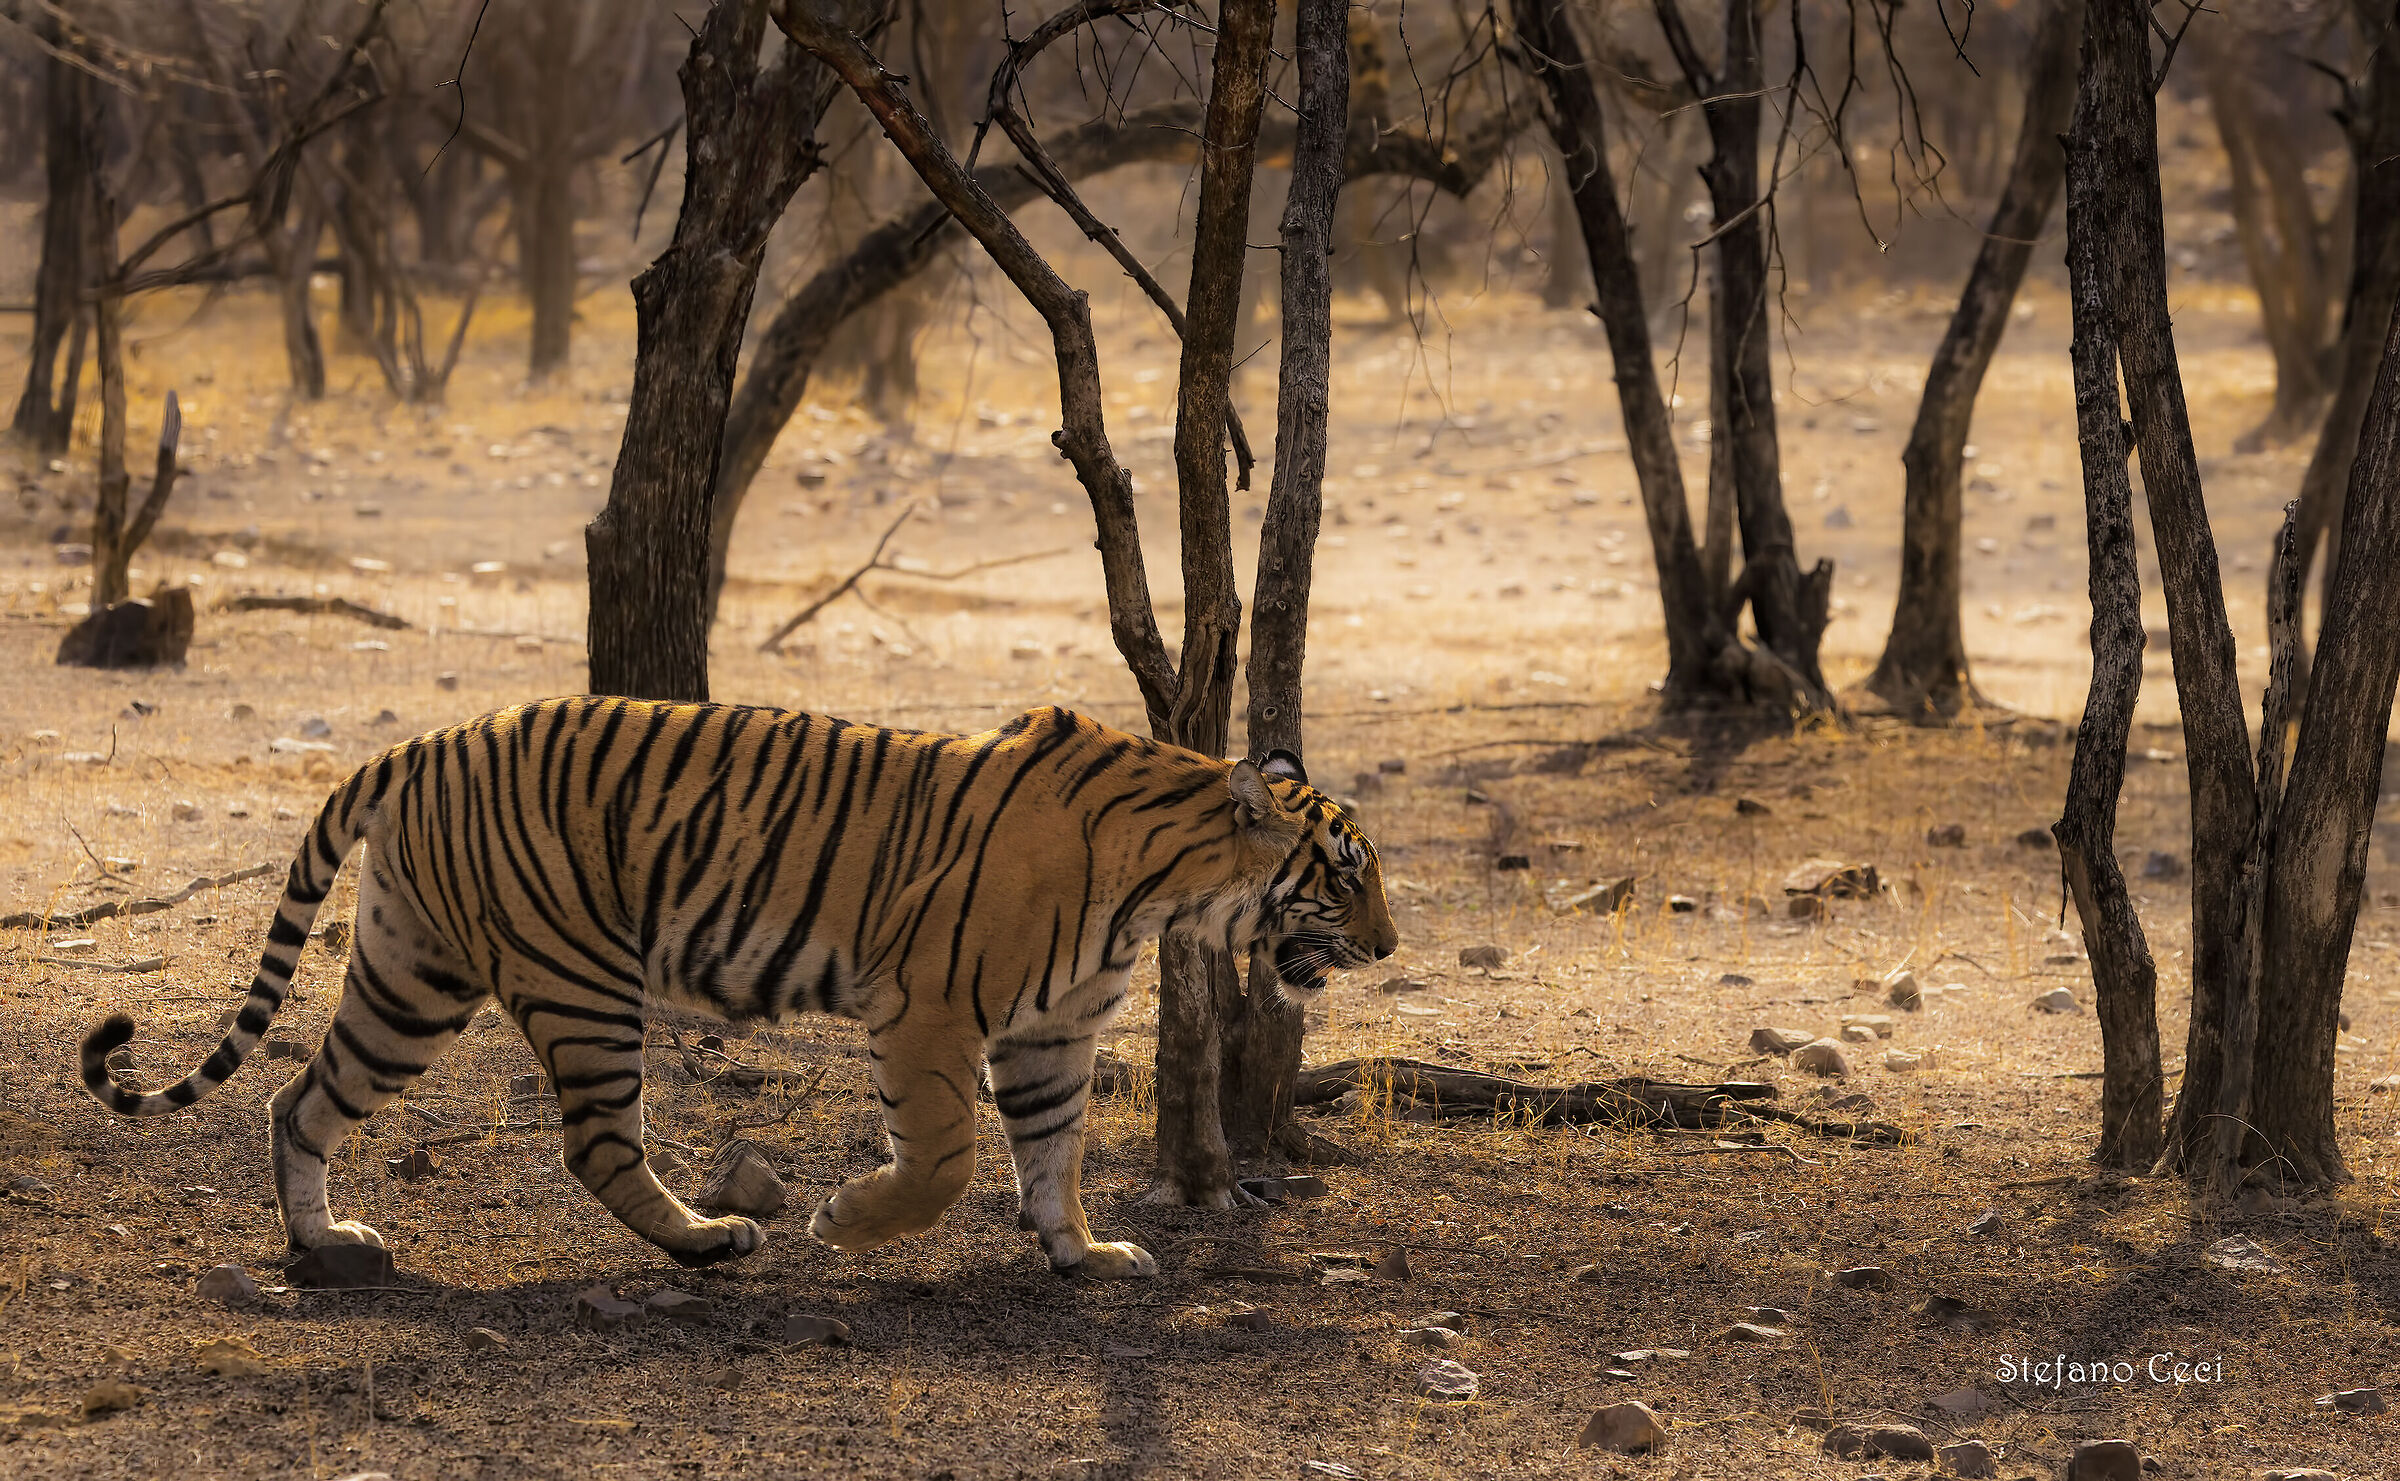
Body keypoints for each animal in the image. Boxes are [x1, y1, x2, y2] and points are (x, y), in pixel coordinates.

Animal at [80, 699, 1396, 1278]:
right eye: (1344, 874)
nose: (1386, 946)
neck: (1166, 886)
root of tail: (421, 740)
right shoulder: (930, 1006)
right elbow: (946, 1156)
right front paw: (847, 1219)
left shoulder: (1051, 1032)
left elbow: (1055, 1152)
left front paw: (1084, 1251)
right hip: (579, 978)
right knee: (598, 1144)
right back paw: (710, 1237)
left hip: (413, 975)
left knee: (297, 1098)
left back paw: (326, 1239)